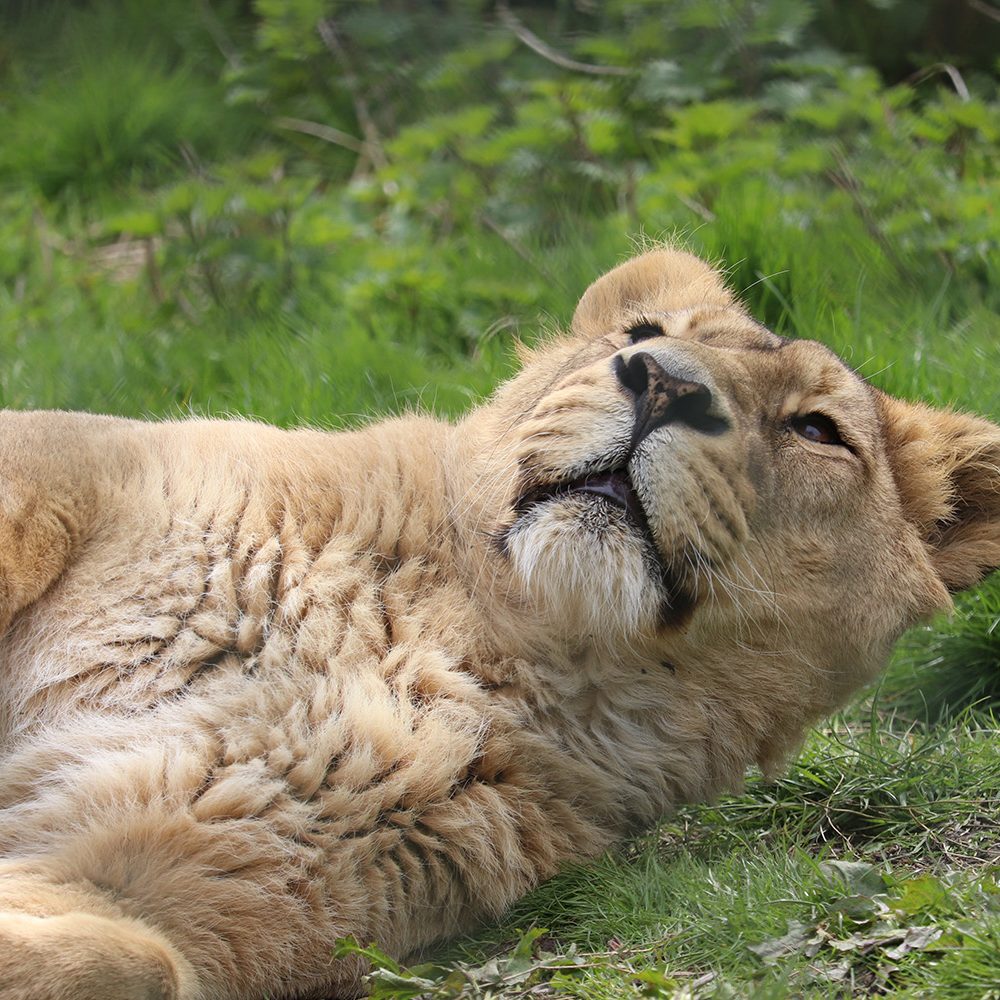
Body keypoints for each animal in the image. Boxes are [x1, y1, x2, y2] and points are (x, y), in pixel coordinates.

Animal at [1, 244, 1000, 1000]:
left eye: (818, 430)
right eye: (640, 337)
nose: (662, 384)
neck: (459, 626)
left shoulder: (173, 861)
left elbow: (133, 958)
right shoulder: (72, 467)